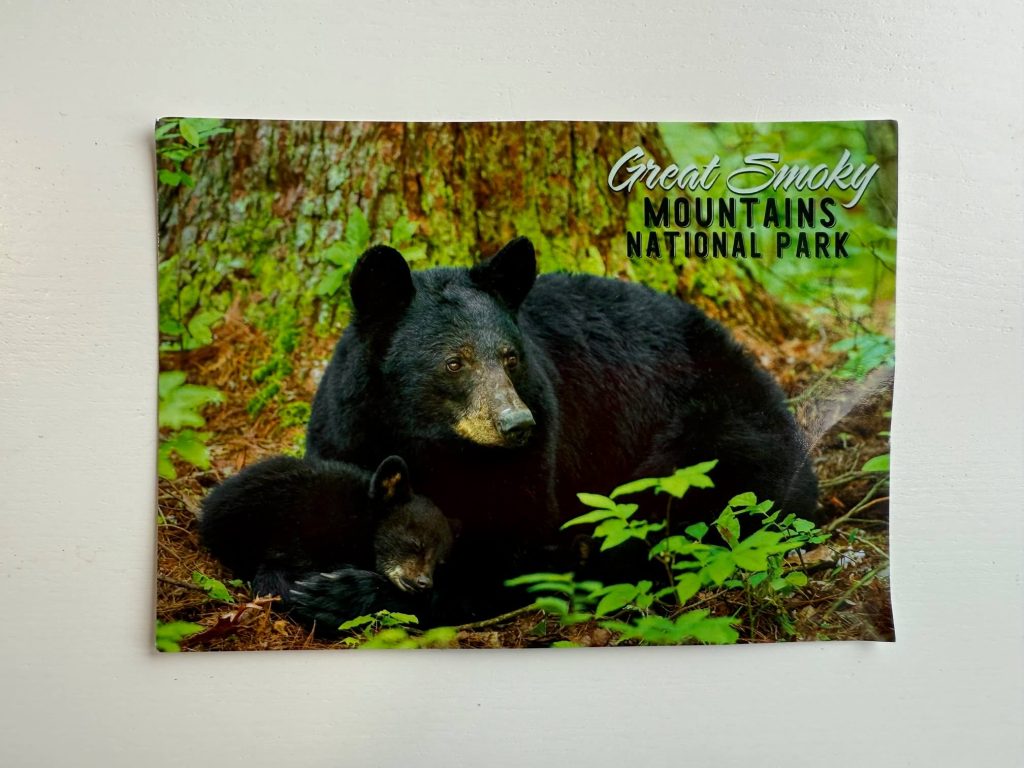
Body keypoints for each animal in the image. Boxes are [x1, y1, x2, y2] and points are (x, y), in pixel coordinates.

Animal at [298, 235, 818, 625]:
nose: (515, 424)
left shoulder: (537, 444)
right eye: (454, 362)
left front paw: (345, 593)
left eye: (510, 355)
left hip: (715, 436)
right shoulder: (350, 428)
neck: (431, 440)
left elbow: (511, 545)